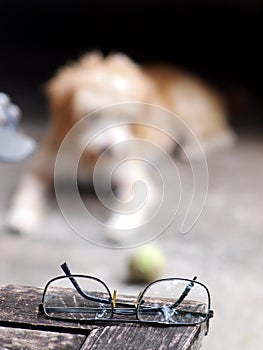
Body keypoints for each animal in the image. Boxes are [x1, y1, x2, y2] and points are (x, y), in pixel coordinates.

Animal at [6, 50, 235, 239]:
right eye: (92, 114)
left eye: (125, 116)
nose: (108, 148)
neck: (90, 158)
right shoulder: (40, 170)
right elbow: (27, 193)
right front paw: (22, 216)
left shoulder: (133, 178)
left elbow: (132, 203)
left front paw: (121, 226)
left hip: (189, 114)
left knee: (222, 135)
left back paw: (192, 150)